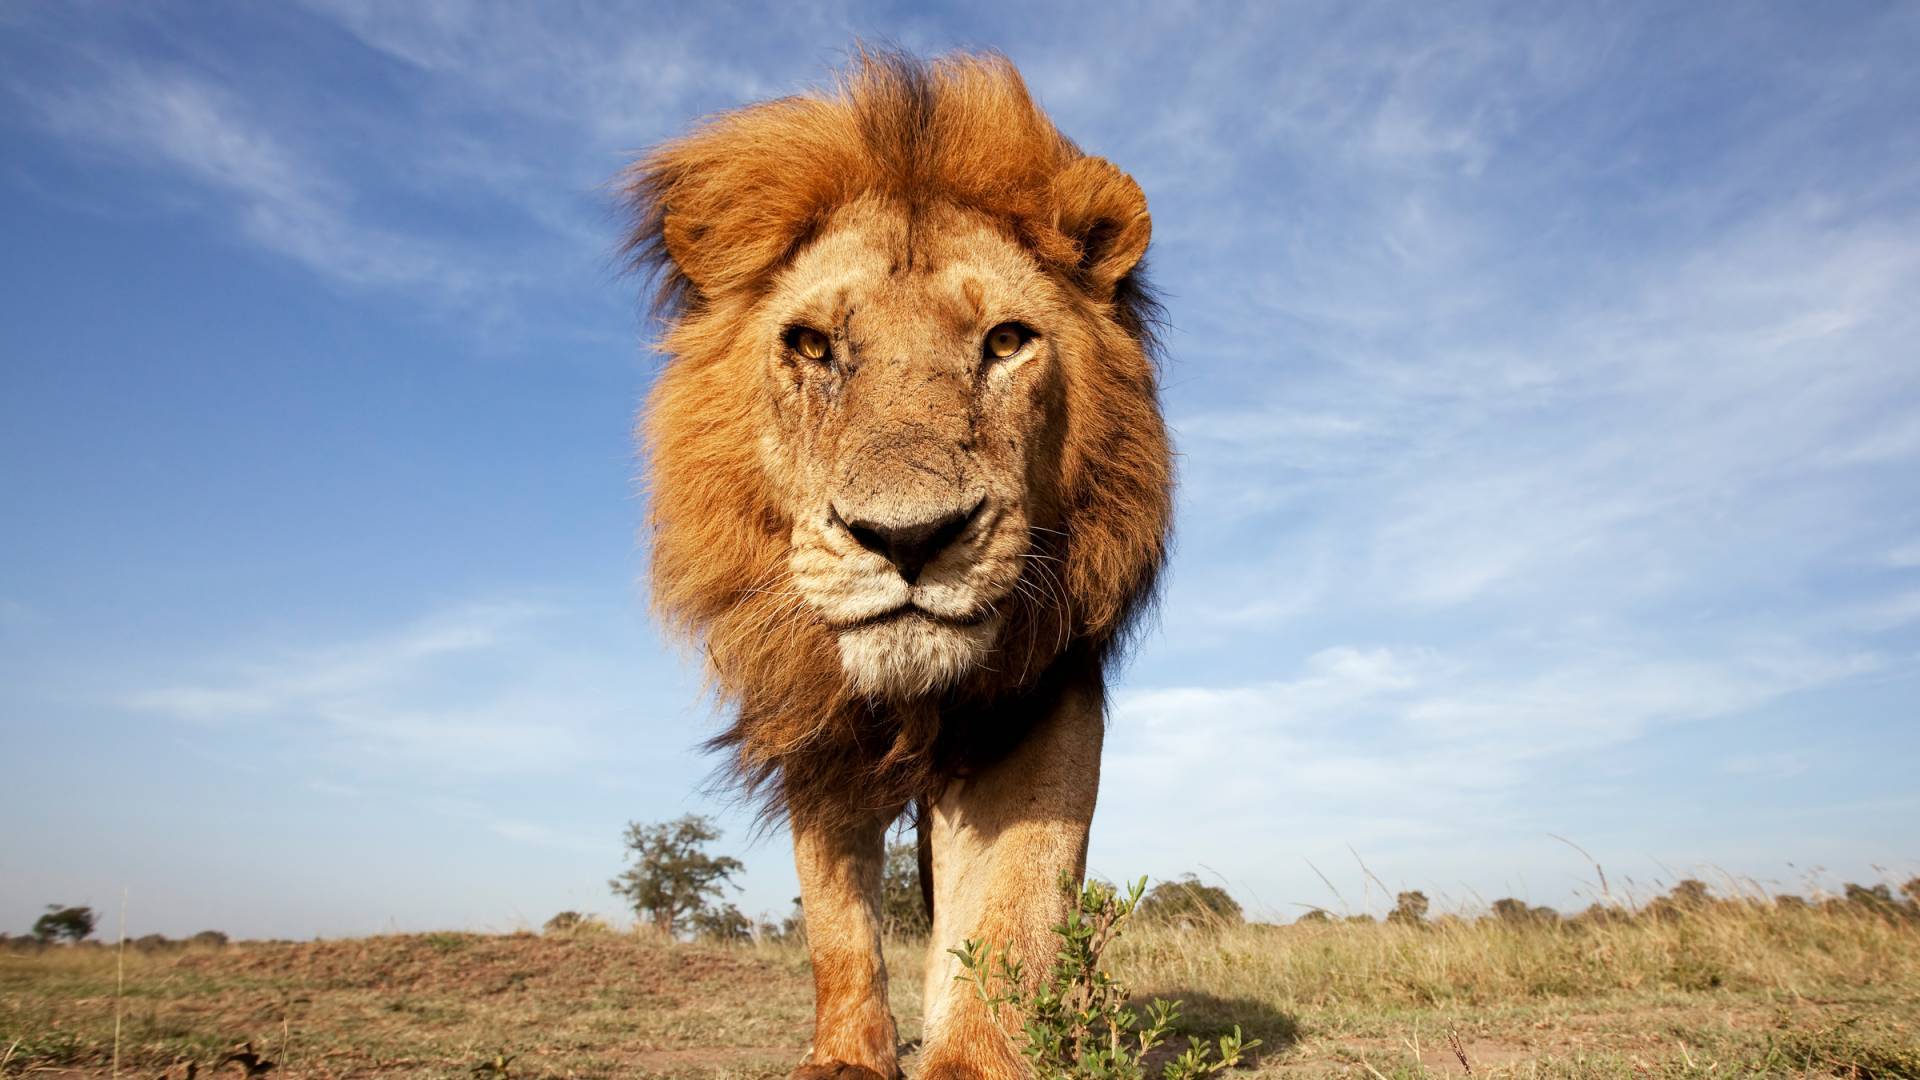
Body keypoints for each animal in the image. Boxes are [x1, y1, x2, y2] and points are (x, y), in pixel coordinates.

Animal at [625, 50, 1167, 1076]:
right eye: (812, 346)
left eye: (1006, 341)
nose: (909, 539)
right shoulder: (813, 722)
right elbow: (837, 921)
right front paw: (845, 1056)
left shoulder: (1045, 699)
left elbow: (1018, 903)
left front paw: (978, 1056)